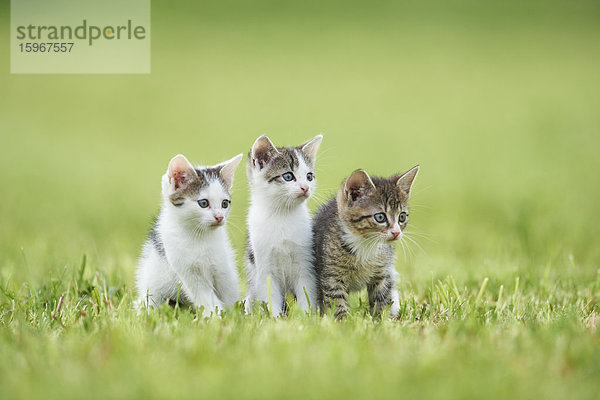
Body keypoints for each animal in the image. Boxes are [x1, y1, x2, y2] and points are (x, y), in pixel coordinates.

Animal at [137, 153, 243, 316]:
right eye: (203, 203)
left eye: (225, 203)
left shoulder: (223, 267)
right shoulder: (187, 271)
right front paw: (215, 316)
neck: (199, 237)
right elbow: (205, 296)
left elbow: (228, 292)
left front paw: (233, 316)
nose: (219, 217)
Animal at [245, 134, 324, 316]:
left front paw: (307, 318)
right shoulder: (264, 268)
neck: (282, 215)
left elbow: (306, 293)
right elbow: (270, 297)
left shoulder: (306, 265)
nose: (305, 188)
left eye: (309, 176)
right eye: (288, 176)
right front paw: (275, 318)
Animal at [312, 165, 420, 318]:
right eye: (380, 217)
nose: (396, 232)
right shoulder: (332, 275)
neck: (366, 243)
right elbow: (337, 301)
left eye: (402, 217)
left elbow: (382, 298)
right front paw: (343, 321)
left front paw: (382, 320)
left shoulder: (382, 272)